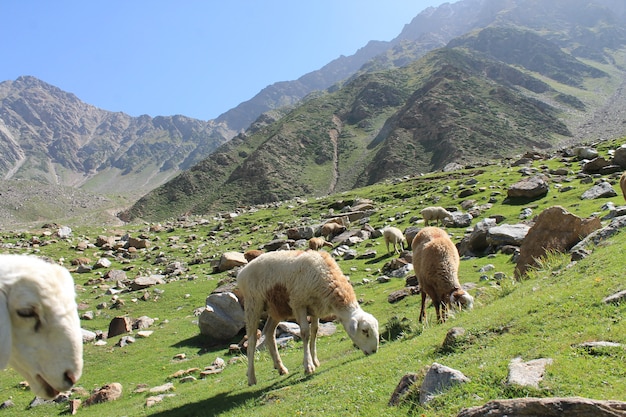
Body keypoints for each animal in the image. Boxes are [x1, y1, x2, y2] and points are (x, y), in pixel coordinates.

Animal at [236, 249, 378, 386]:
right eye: (364, 331)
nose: (374, 351)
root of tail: (242, 272)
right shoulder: (299, 304)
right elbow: (305, 333)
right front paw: (308, 366)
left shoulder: (315, 308)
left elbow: (314, 331)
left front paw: (314, 361)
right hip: (253, 303)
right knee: (252, 339)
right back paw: (251, 377)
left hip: (276, 308)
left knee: (269, 333)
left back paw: (281, 368)